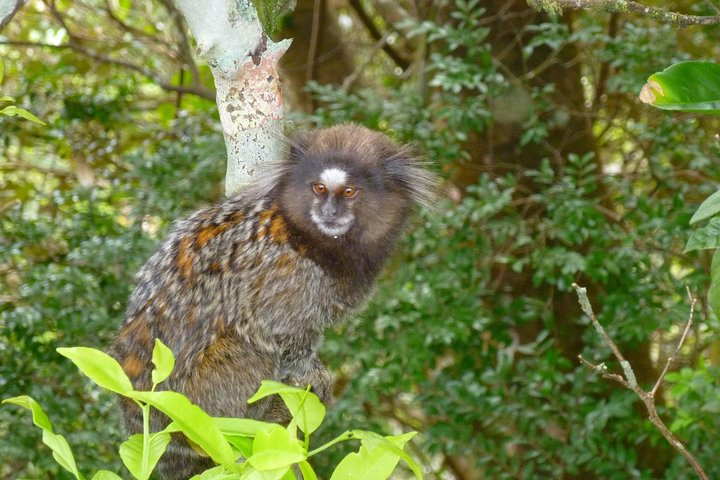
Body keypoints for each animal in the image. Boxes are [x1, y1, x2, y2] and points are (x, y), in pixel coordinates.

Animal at [110, 124, 436, 479]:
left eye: (349, 192)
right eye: (319, 188)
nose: (329, 212)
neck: (310, 239)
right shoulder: (290, 274)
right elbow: (274, 330)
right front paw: (310, 372)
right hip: (197, 400)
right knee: (249, 351)